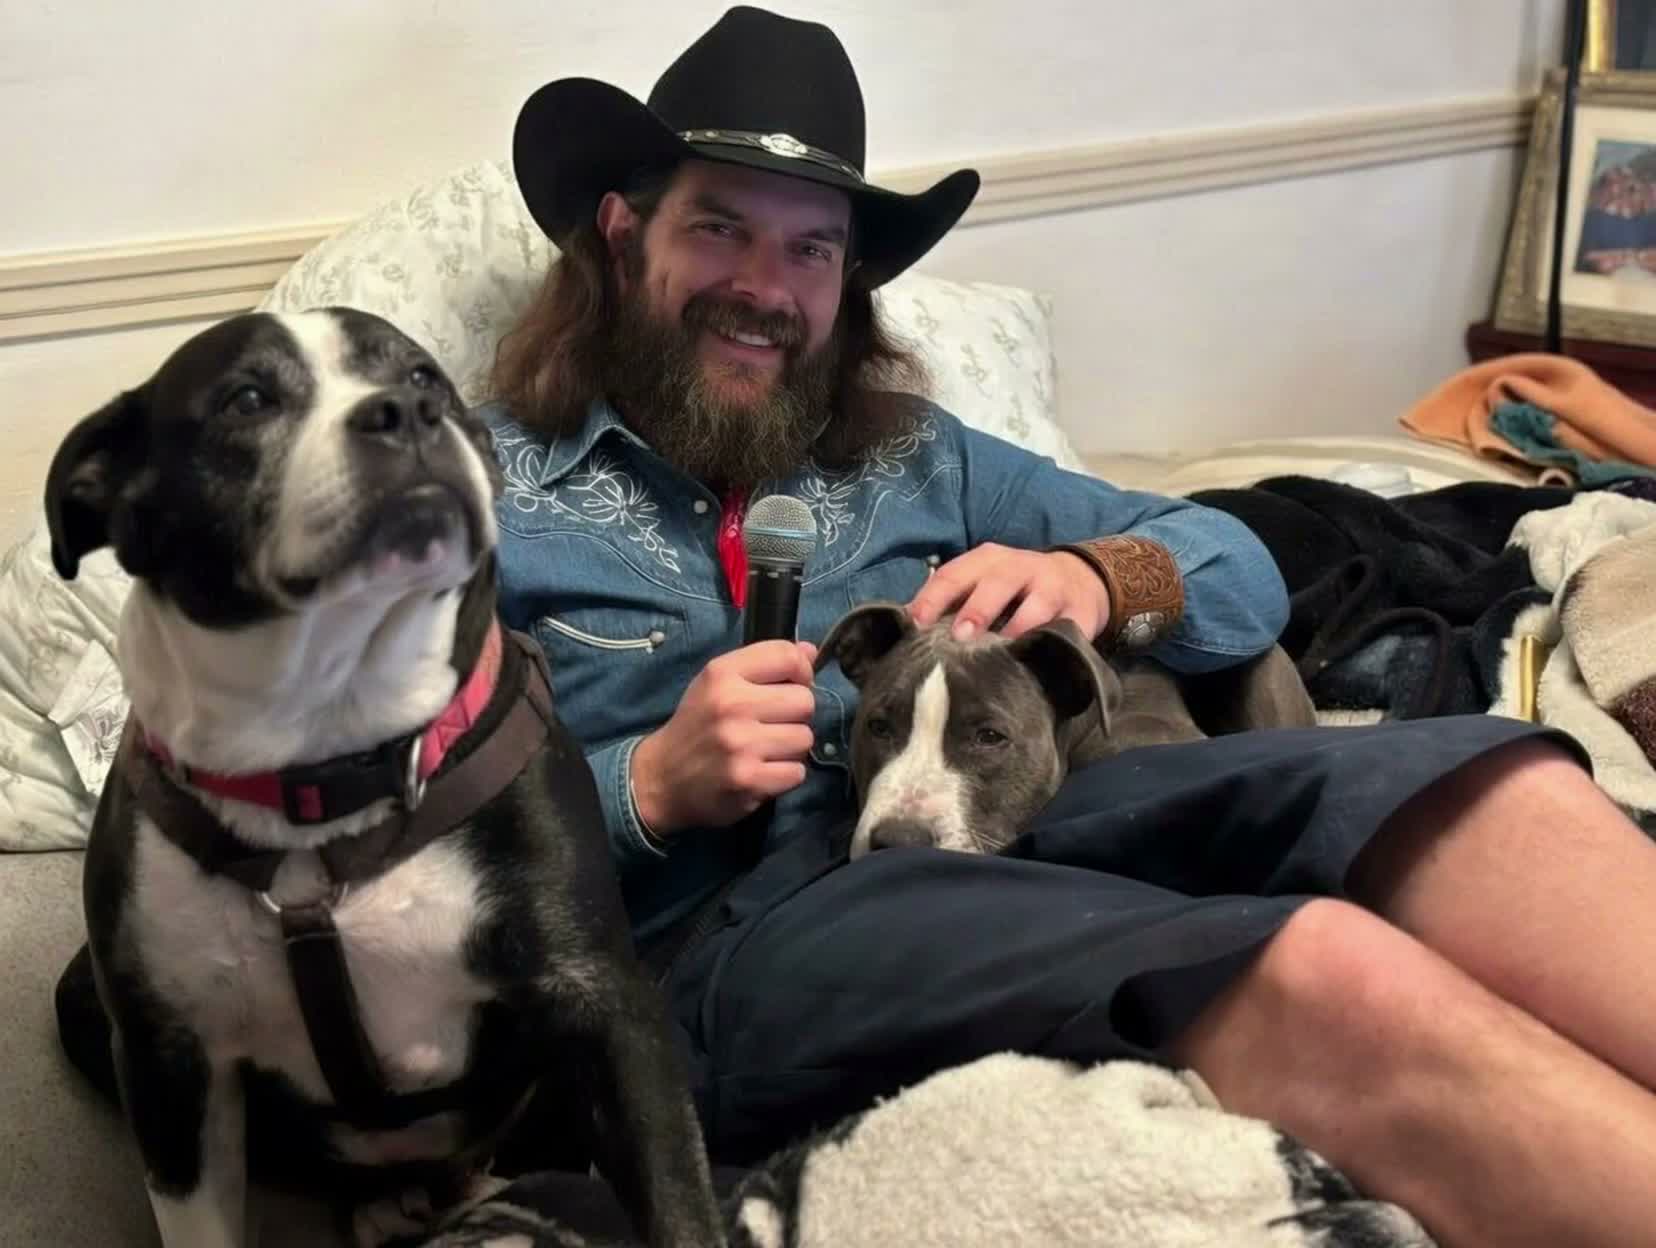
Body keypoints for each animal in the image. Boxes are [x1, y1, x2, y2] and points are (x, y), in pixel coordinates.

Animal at [44, 308, 724, 1248]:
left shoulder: (608, 1010)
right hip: (84, 1004)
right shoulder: (168, 1060)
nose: (405, 413)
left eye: (423, 377)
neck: (327, 760)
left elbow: (678, 1205)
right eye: (247, 399)